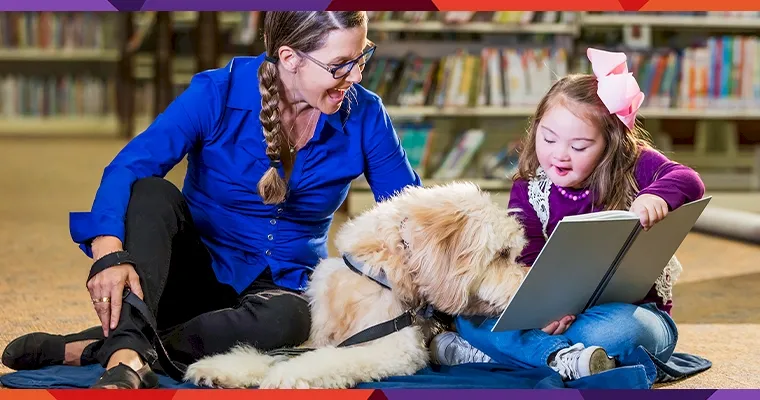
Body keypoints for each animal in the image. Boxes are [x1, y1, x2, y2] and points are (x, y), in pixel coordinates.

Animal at [184, 181, 528, 388]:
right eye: (502, 254)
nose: (524, 283)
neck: (380, 272)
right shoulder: (318, 337)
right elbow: (274, 354)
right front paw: (220, 368)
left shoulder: (395, 348)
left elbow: (328, 360)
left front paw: (287, 375)